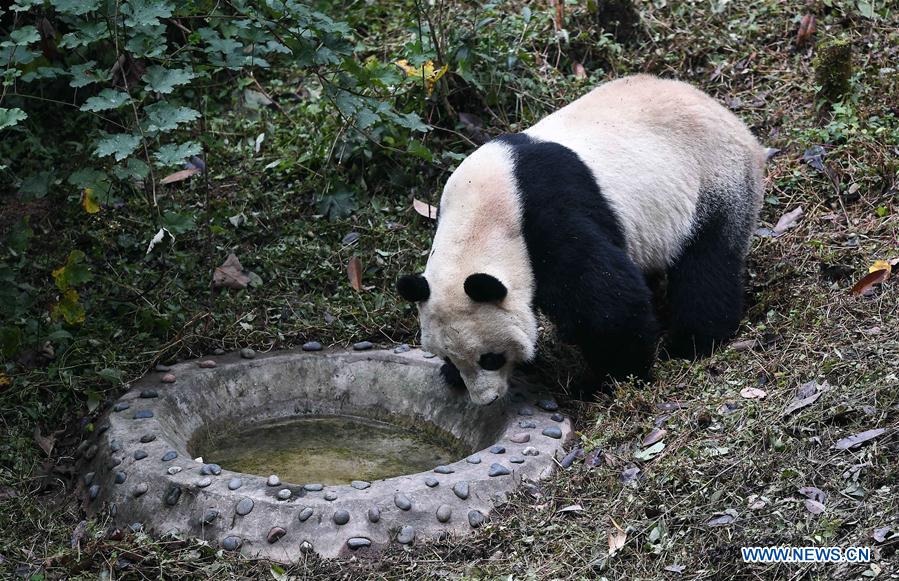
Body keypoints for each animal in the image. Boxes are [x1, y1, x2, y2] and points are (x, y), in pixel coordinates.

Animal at [397, 74, 766, 405]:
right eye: (450, 356)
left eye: (490, 358)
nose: (486, 400)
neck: (479, 218)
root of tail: (735, 122)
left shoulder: (547, 214)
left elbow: (606, 303)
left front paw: (611, 379)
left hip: (714, 179)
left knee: (707, 266)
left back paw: (692, 342)